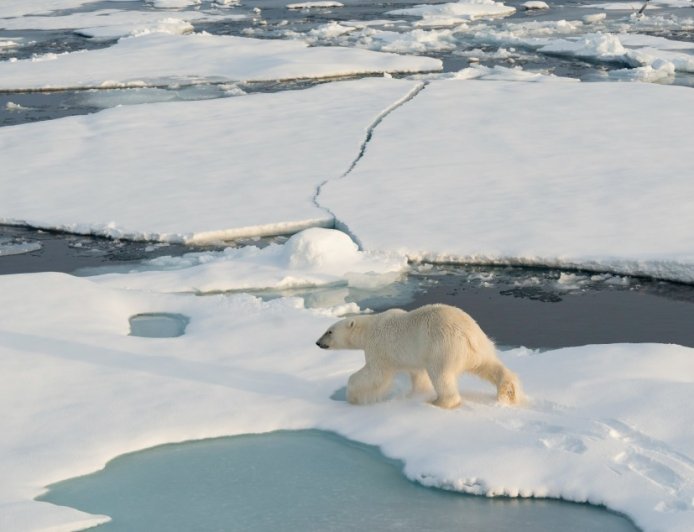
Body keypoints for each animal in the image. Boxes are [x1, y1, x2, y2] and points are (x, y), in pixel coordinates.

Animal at [316, 303, 522, 409]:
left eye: (329, 331)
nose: (318, 342)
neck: (370, 327)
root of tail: (468, 335)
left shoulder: (380, 347)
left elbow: (375, 374)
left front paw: (353, 396)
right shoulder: (414, 355)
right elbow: (418, 374)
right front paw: (415, 393)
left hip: (442, 347)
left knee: (441, 375)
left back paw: (439, 402)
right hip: (479, 347)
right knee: (489, 366)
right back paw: (509, 392)